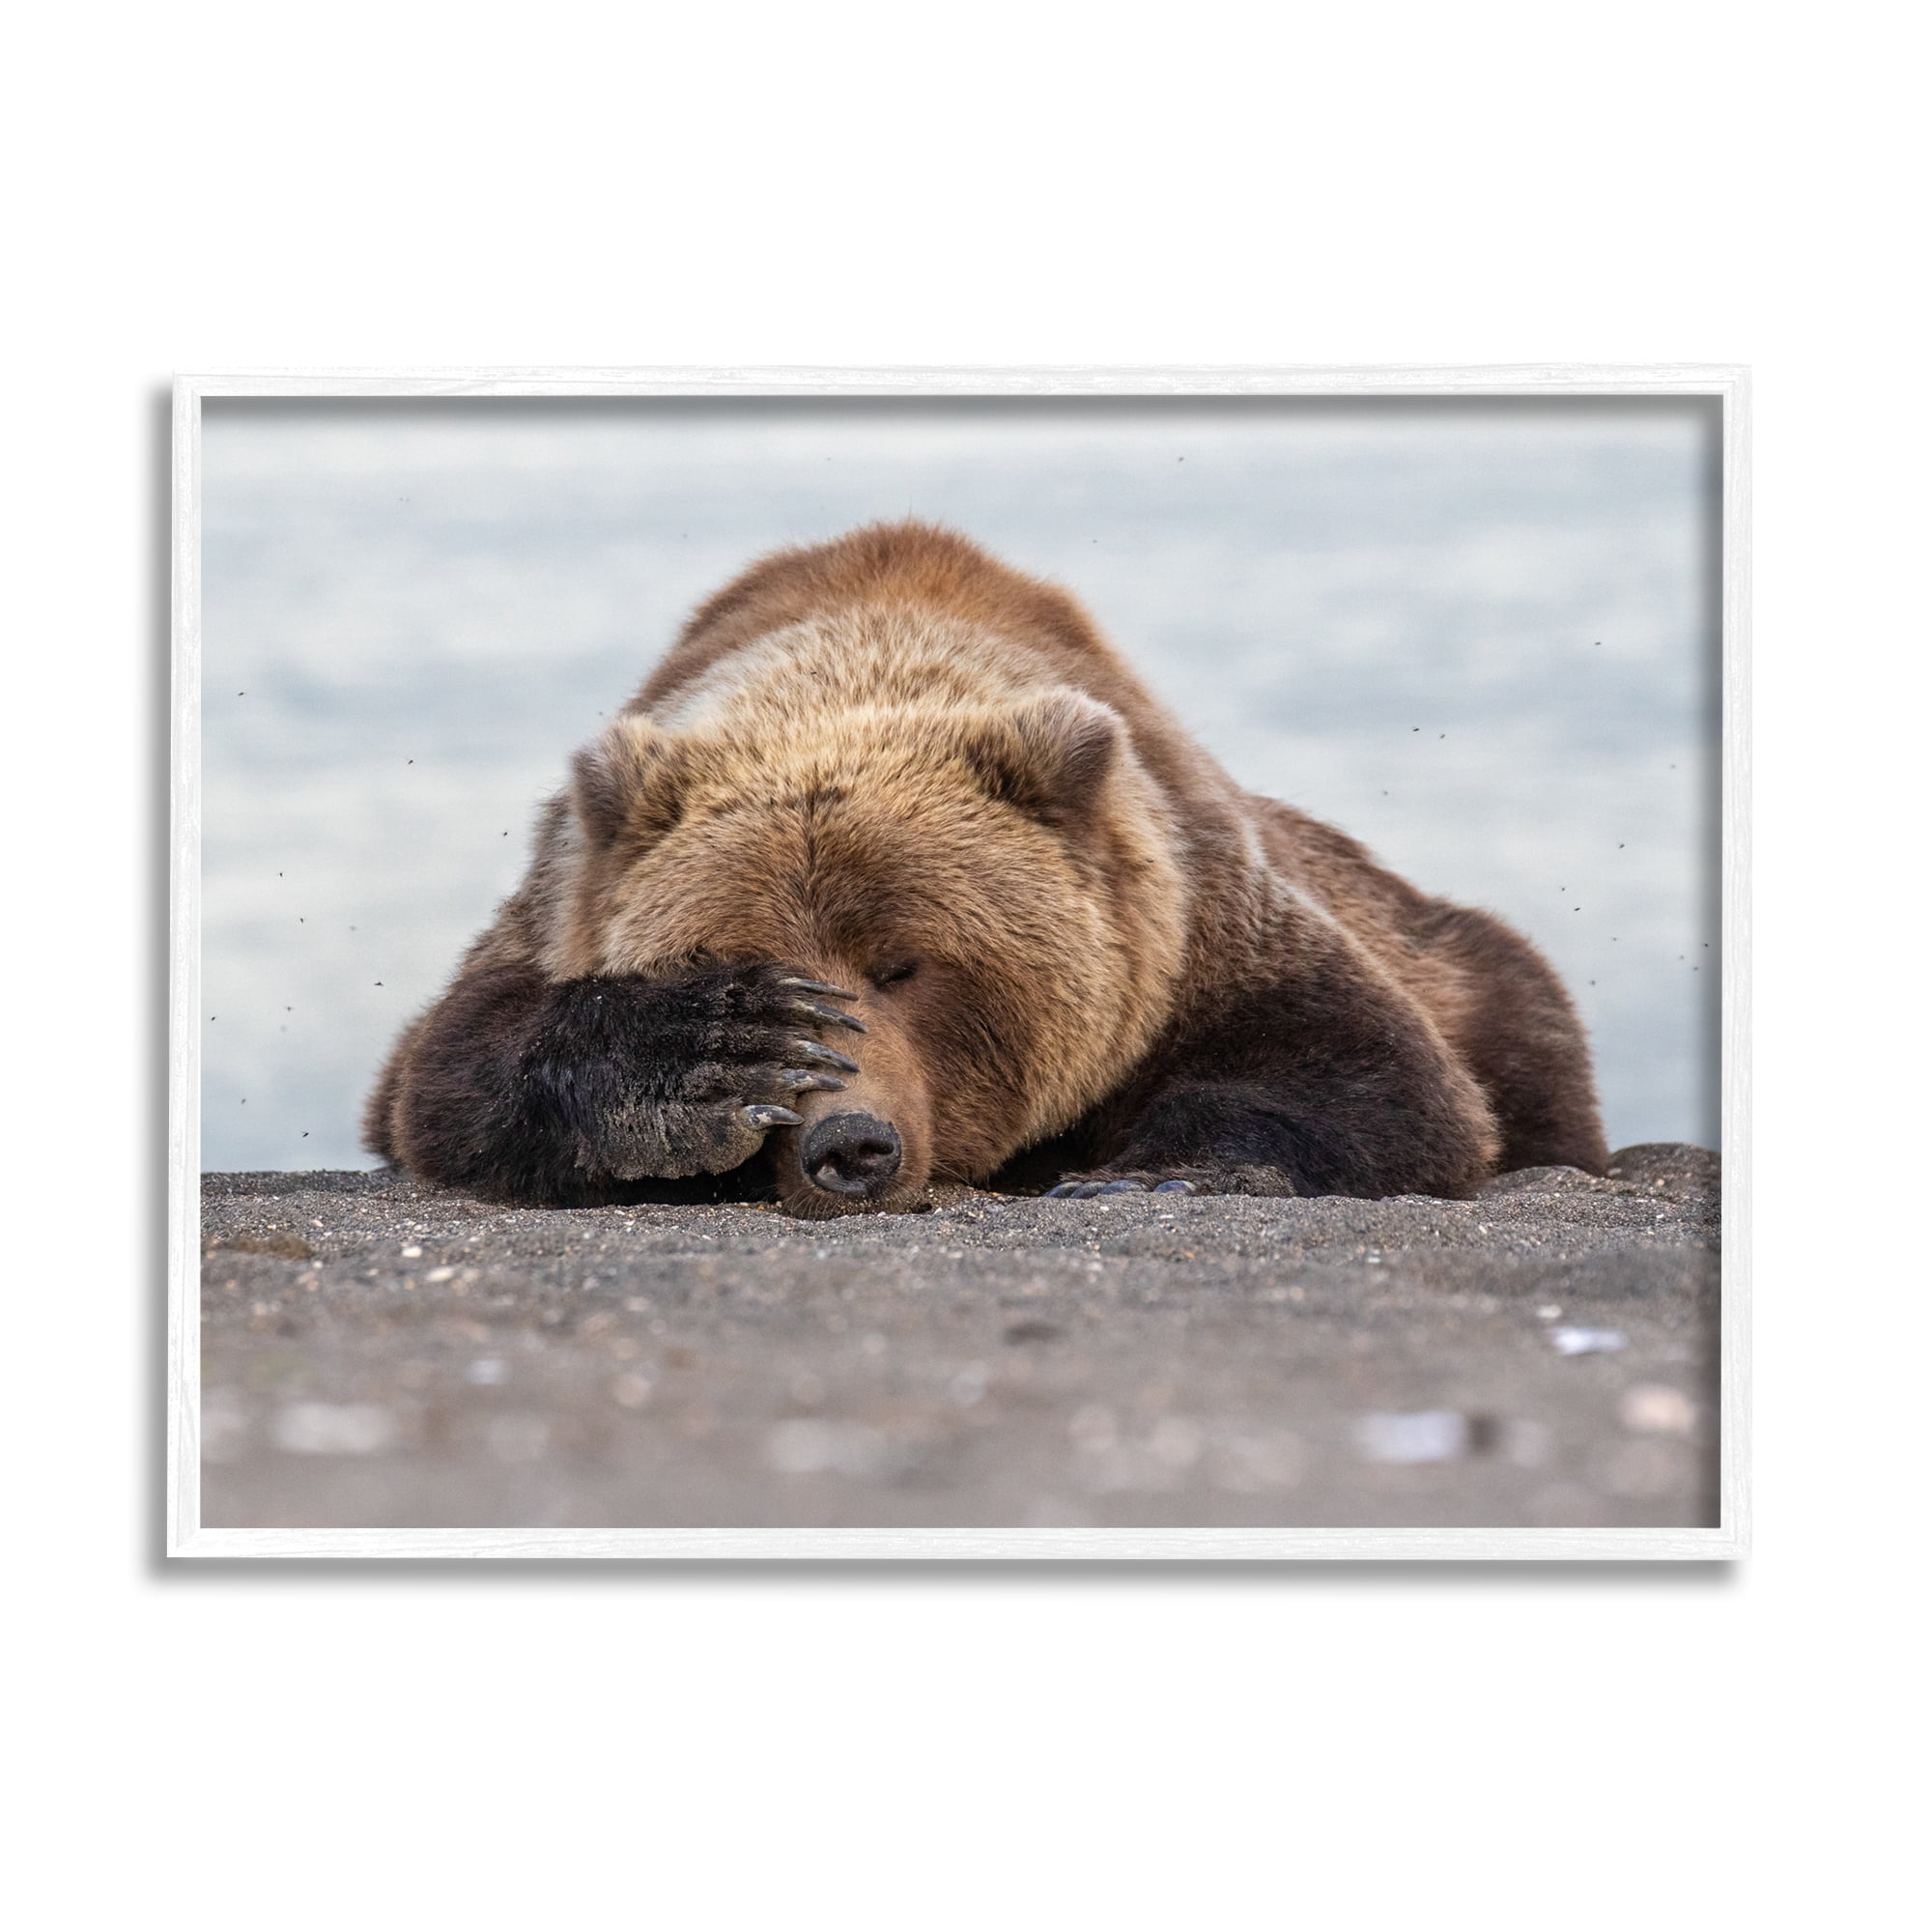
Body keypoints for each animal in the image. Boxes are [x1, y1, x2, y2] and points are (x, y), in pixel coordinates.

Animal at [364, 519, 1609, 1217]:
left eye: (905, 964)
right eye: (743, 956)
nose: (846, 1143)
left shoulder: (1190, 920)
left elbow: (1368, 1072)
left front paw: (1154, 1169)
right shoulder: (559, 900)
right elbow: (448, 1070)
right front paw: (700, 1061)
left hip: (1461, 958)